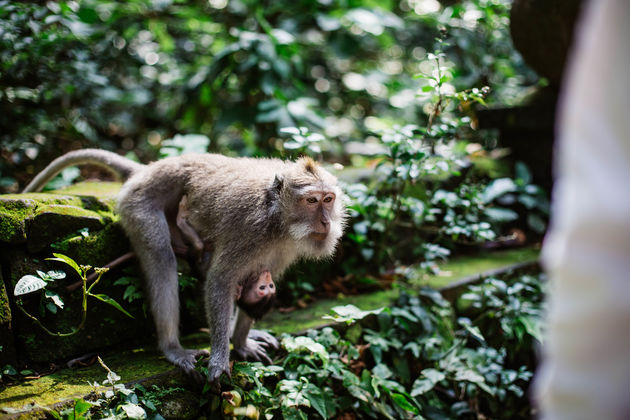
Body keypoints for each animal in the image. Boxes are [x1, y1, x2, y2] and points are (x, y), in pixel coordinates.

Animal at [24, 148, 348, 390]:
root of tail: (146, 170)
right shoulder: (250, 232)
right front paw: (220, 358)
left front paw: (241, 341)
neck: (277, 216)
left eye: (328, 199)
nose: (325, 222)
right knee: (161, 259)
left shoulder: (283, 249)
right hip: (139, 205)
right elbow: (220, 281)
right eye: (311, 200)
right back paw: (172, 348)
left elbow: (256, 276)